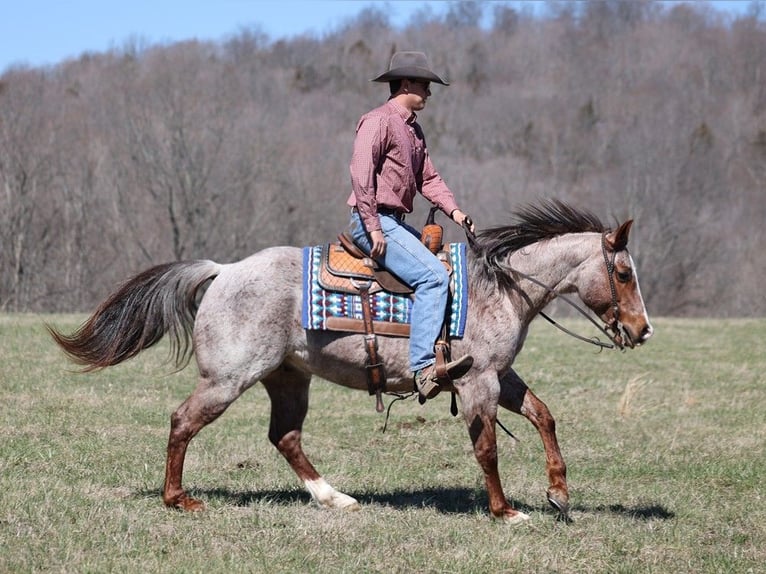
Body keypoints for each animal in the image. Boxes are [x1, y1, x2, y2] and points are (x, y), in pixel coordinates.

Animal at [51, 200, 656, 524]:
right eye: (624, 273)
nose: (641, 329)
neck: (500, 288)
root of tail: (223, 270)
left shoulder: (500, 377)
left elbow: (544, 415)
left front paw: (558, 492)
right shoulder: (479, 381)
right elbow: (486, 448)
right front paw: (505, 510)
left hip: (287, 379)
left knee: (285, 437)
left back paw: (334, 497)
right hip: (227, 379)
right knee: (183, 421)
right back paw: (179, 499)